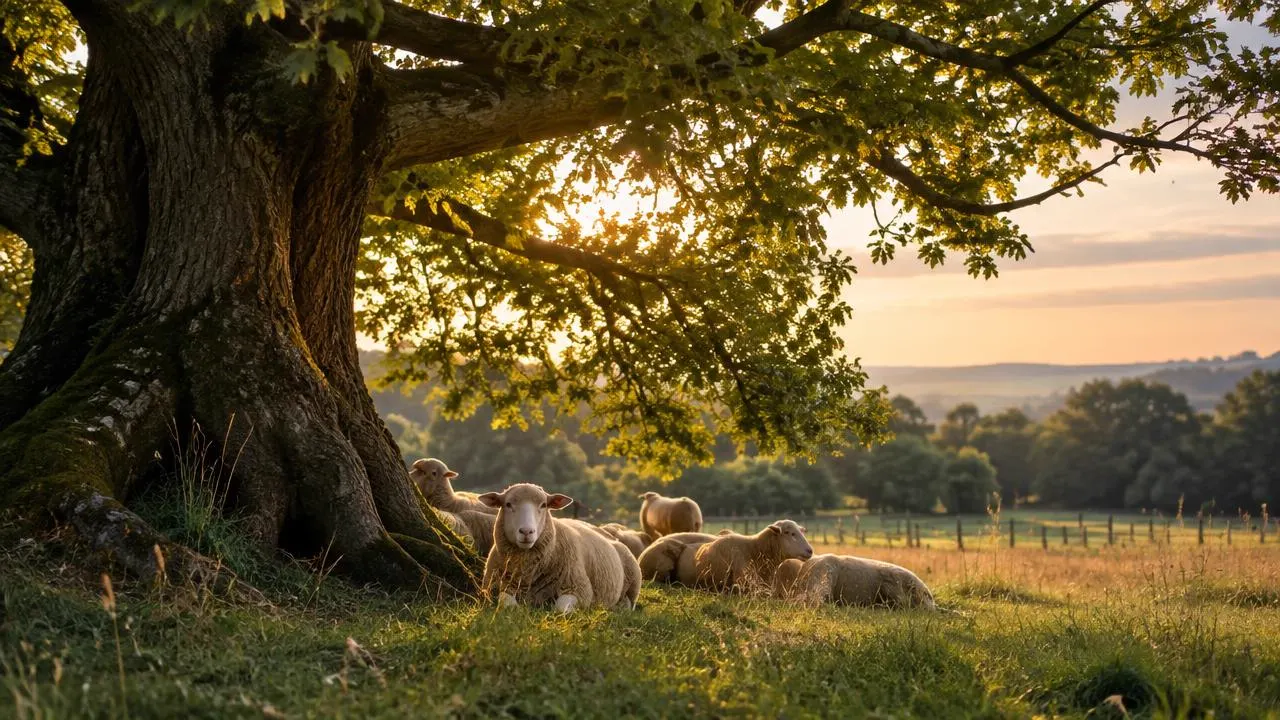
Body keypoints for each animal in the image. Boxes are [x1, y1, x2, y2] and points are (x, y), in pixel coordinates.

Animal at [479, 483, 641, 613]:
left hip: (634, 582)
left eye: (543, 505)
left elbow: (560, 608)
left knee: (630, 603)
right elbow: (505, 603)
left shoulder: (578, 588)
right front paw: (516, 609)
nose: (527, 531)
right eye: (508, 504)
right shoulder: (495, 588)